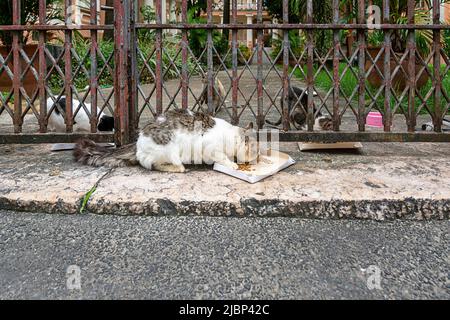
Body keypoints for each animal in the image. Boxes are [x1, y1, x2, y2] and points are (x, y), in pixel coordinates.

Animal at [73, 109, 256, 172]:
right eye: (256, 151)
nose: (256, 160)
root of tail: (138, 141)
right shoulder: (209, 147)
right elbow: (222, 157)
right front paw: (232, 164)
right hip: (169, 149)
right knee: (153, 165)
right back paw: (180, 168)